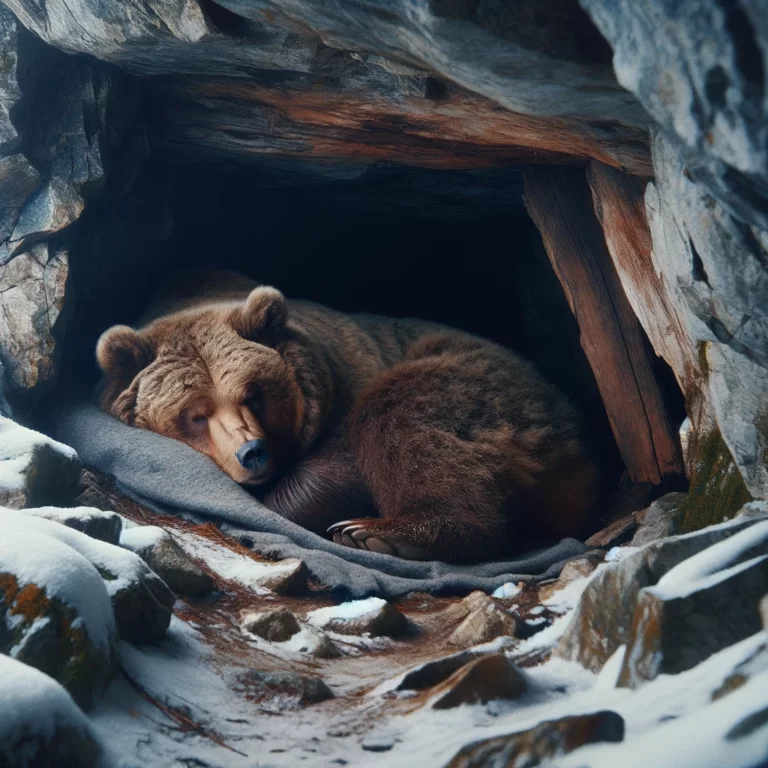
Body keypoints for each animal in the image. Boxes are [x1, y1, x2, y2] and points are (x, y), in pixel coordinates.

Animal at [96, 270, 596, 563]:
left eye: (253, 394)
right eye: (195, 414)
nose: (252, 452)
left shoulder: (345, 378)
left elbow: (343, 466)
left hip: (484, 386)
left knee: (401, 415)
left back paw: (378, 533)